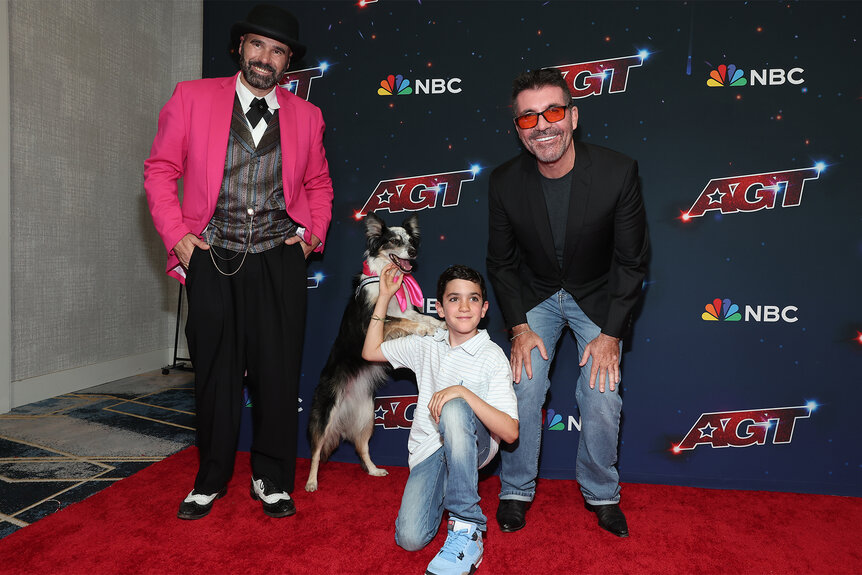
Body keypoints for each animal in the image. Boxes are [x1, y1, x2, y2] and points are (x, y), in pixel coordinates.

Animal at [306, 214, 446, 492]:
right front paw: (424, 329)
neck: (384, 275)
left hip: (367, 417)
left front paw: (439, 323)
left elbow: (417, 316)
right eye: (394, 241)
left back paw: (373, 470)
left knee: (362, 448)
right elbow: (402, 322)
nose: (413, 252)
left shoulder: (405, 310)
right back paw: (312, 482)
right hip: (326, 413)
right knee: (316, 452)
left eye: (411, 240)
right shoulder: (369, 324)